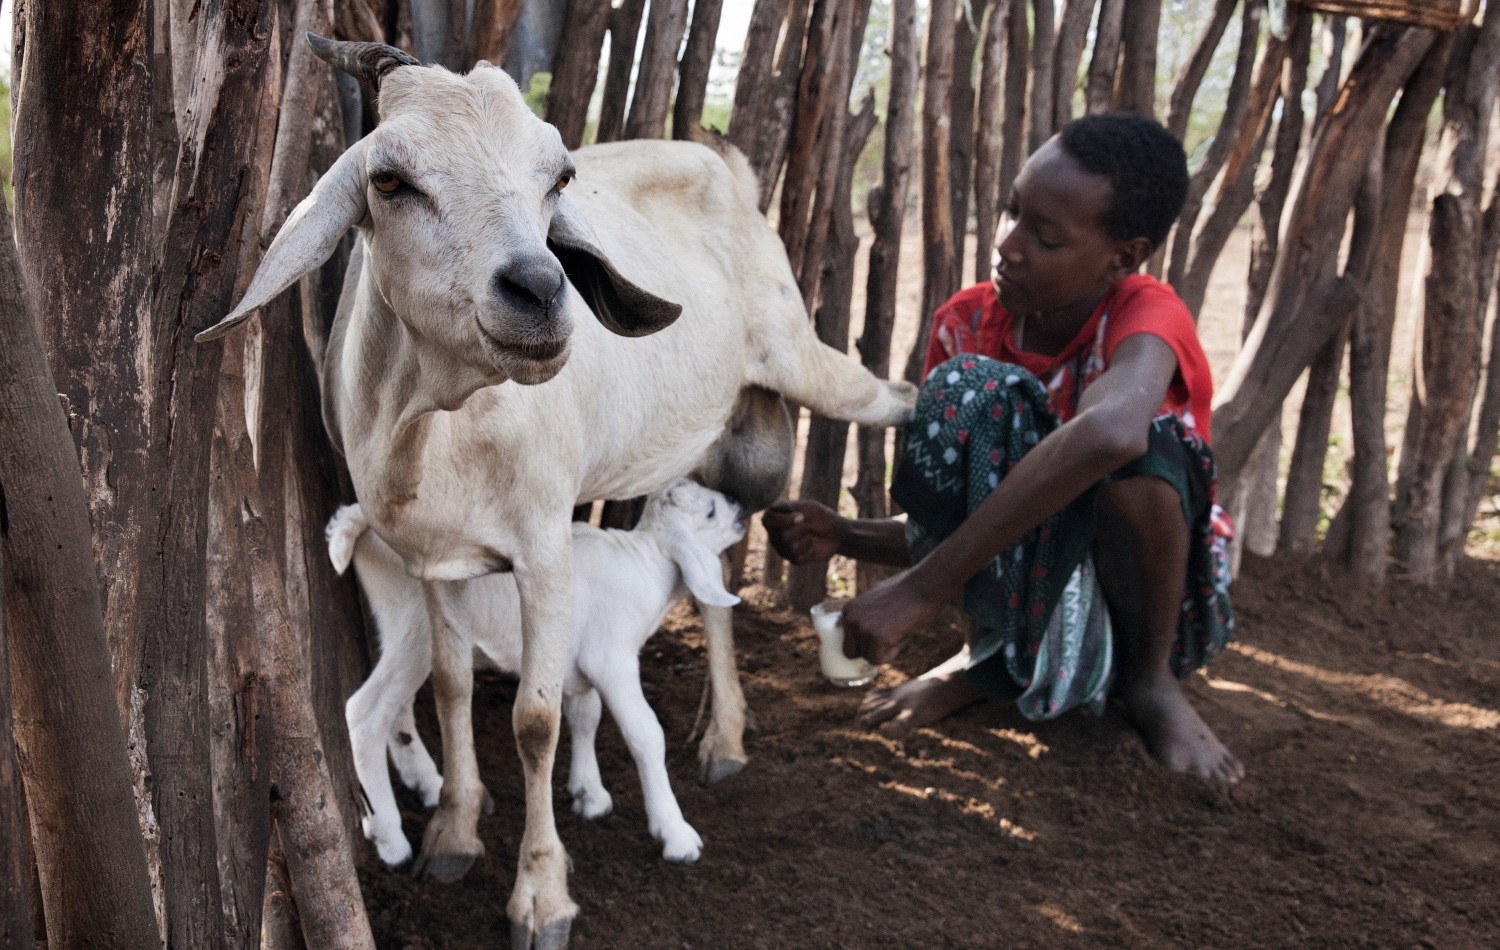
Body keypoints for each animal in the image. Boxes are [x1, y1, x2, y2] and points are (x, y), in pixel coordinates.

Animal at [333, 480, 744, 864]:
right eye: (710, 512)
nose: (739, 505)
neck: (646, 564)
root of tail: (363, 523)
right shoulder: (613, 659)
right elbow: (646, 733)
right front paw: (676, 834)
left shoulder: (580, 664)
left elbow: (585, 717)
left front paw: (589, 794)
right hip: (415, 630)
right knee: (364, 714)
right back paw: (390, 838)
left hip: (398, 630)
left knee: (394, 709)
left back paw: (421, 788)